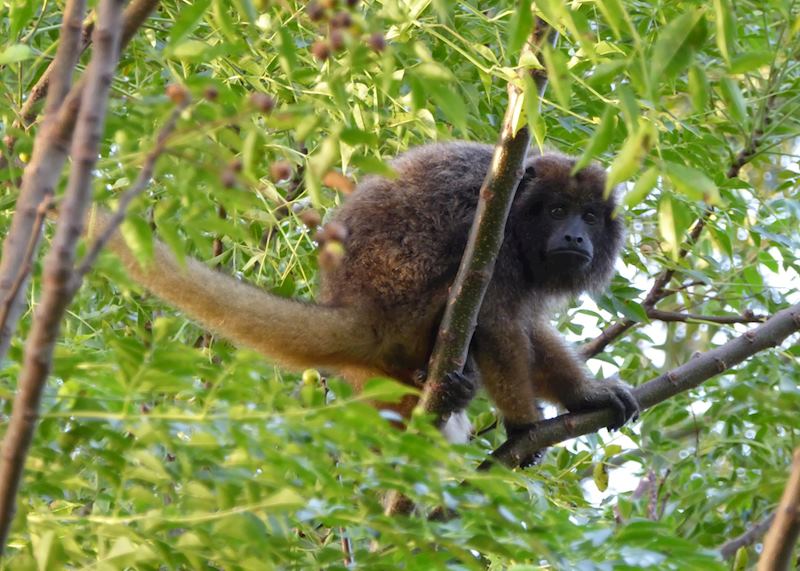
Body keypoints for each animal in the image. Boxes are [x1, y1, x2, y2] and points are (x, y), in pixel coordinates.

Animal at [86, 141, 638, 446]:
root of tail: (354, 310)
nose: (575, 237)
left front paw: (587, 394)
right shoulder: (494, 238)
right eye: (557, 210)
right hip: (408, 304)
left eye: (590, 215)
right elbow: (500, 324)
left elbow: (525, 327)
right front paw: (523, 428)